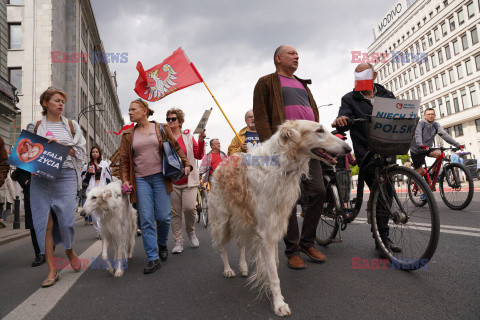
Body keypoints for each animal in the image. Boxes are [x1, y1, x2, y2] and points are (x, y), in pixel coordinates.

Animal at [210, 120, 352, 316]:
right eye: (319, 130)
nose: (348, 148)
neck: (281, 166)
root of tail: (221, 164)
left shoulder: (275, 225)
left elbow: (274, 265)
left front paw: (277, 296)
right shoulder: (266, 233)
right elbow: (273, 273)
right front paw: (279, 304)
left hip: (242, 219)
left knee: (240, 244)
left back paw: (243, 267)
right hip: (223, 220)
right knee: (222, 248)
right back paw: (229, 270)